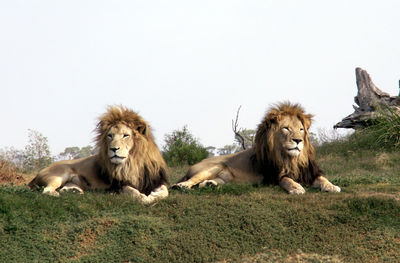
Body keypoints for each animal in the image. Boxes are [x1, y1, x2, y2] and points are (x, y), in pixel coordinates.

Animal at [28, 106, 169, 205]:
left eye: (125, 135)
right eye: (110, 136)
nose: (113, 149)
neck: (133, 162)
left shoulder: (155, 180)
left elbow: (165, 191)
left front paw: (154, 195)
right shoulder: (117, 186)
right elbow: (132, 191)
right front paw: (145, 197)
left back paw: (73, 191)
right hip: (61, 173)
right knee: (46, 190)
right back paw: (57, 194)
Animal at [173, 102, 340, 195]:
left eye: (300, 129)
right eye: (286, 128)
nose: (298, 141)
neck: (291, 159)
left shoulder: (309, 173)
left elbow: (323, 179)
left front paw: (332, 187)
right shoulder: (273, 176)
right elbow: (287, 180)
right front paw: (296, 188)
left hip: (224, 177)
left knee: (204, 183)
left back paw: (209, 184)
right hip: (214, 166)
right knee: (193, 180)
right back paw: (181, 185)